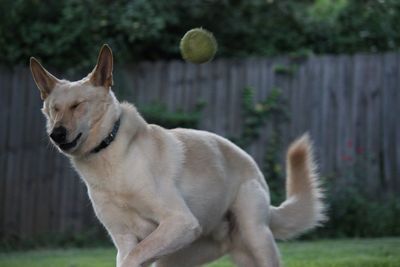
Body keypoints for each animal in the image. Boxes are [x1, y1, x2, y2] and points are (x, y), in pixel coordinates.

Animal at [30, 45, 324, 266]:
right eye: (54, 109)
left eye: (78, 106)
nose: (56, 134)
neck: (109, 154)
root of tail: (253, 166)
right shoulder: (125, 239)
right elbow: (131, 255)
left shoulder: (180, 222)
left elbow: (134, 257)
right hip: (176, 259)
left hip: (255, 237)